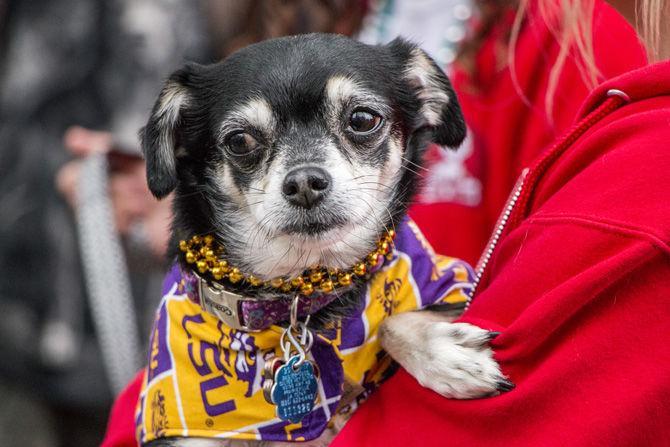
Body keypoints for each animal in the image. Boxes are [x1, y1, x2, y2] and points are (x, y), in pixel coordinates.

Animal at [139, 33, 512, 446]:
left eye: (363, 119)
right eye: (239, 141)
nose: (304, 182)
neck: (302, 293)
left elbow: (389, 323)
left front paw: (444, 352)